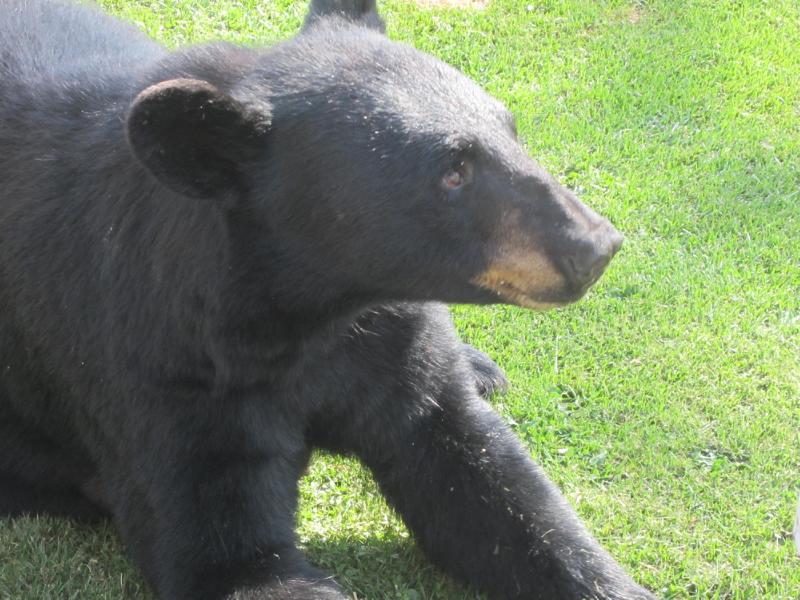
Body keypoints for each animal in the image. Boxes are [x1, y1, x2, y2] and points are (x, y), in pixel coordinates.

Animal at [0, 0, 654, 599]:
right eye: (452, 172)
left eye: (511, 130)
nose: (595, 246)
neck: (313, 311)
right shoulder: (162, 368)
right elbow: (227, 552)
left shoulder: (393, 345)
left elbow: (496, 488)